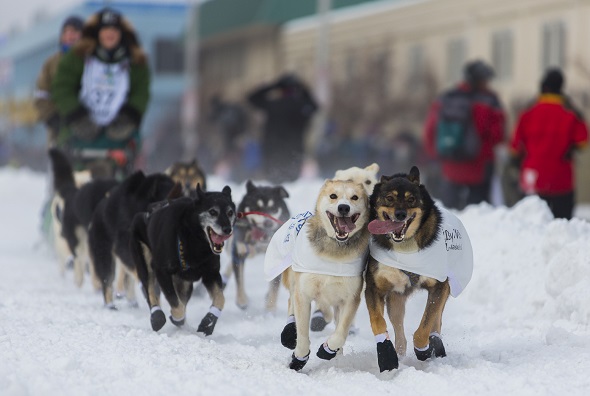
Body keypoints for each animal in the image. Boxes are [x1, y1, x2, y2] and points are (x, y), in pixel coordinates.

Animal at [131, 185, 237, 334]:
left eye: (230, 212)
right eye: (212, 212)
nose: (227, 229)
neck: (195, 241)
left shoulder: (211, 274)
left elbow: (220, 299)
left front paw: (208, 322)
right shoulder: (162, 271)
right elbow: (176, 304)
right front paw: (176, 318)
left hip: (186, 284)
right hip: (145, 263)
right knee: (150, 290)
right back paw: (157, 317)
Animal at [224, 181, 292, 310]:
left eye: (273, 208)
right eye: (257, 207)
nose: (268, 223)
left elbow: (274, 287)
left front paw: (270, 309)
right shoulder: (239, 253)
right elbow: (239, 279)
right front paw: (242, 300)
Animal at [268, 179, 372, 372]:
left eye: (354, 197)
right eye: (333, 196)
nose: (344, 207)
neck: (334, 249)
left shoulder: (350, 298)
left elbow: (341, 332)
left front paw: (329, 349)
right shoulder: (304, 294)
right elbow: (302, 334)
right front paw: (298, 358)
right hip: (295, 280)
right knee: (292, 301)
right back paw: (289, 331)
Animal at [366, 166, 476, 372]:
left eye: (411, 199)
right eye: (389, 198)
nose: (400, 214)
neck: (405, 248)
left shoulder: (439, 286)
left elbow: (425, 324)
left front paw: (424, 349)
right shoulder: (375, 287)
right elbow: (377, 321)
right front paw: (387, 356)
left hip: (445, 289)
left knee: (436, 320)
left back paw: (435, 345)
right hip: (396, 299)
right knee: (399, 330)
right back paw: (400, 353)